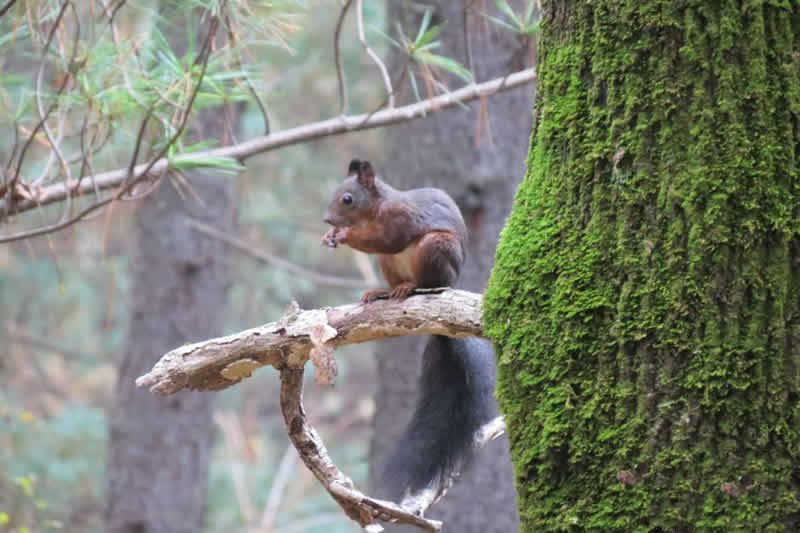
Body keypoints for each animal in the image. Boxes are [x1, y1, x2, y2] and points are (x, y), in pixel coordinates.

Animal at [318, 158, 494, 508]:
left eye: (347, 199)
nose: (328, 220)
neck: (376, 209)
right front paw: (331, 234)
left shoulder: (400, 219)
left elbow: (385, 238)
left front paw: (343, 234)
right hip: (389, 264)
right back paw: (381, 292)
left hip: (435, 249)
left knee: (427, 282)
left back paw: (411, 288)